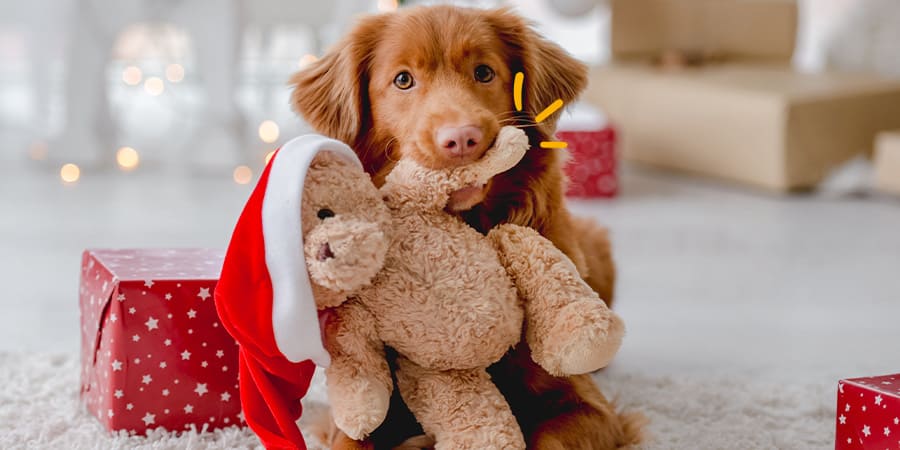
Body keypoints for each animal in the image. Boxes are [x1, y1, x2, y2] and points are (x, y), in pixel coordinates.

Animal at [292, 5, 644, 448]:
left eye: (484, 72)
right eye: (403, 79)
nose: (461, 139)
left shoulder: (587, 404)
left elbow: (551, 437)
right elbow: (352, 435)